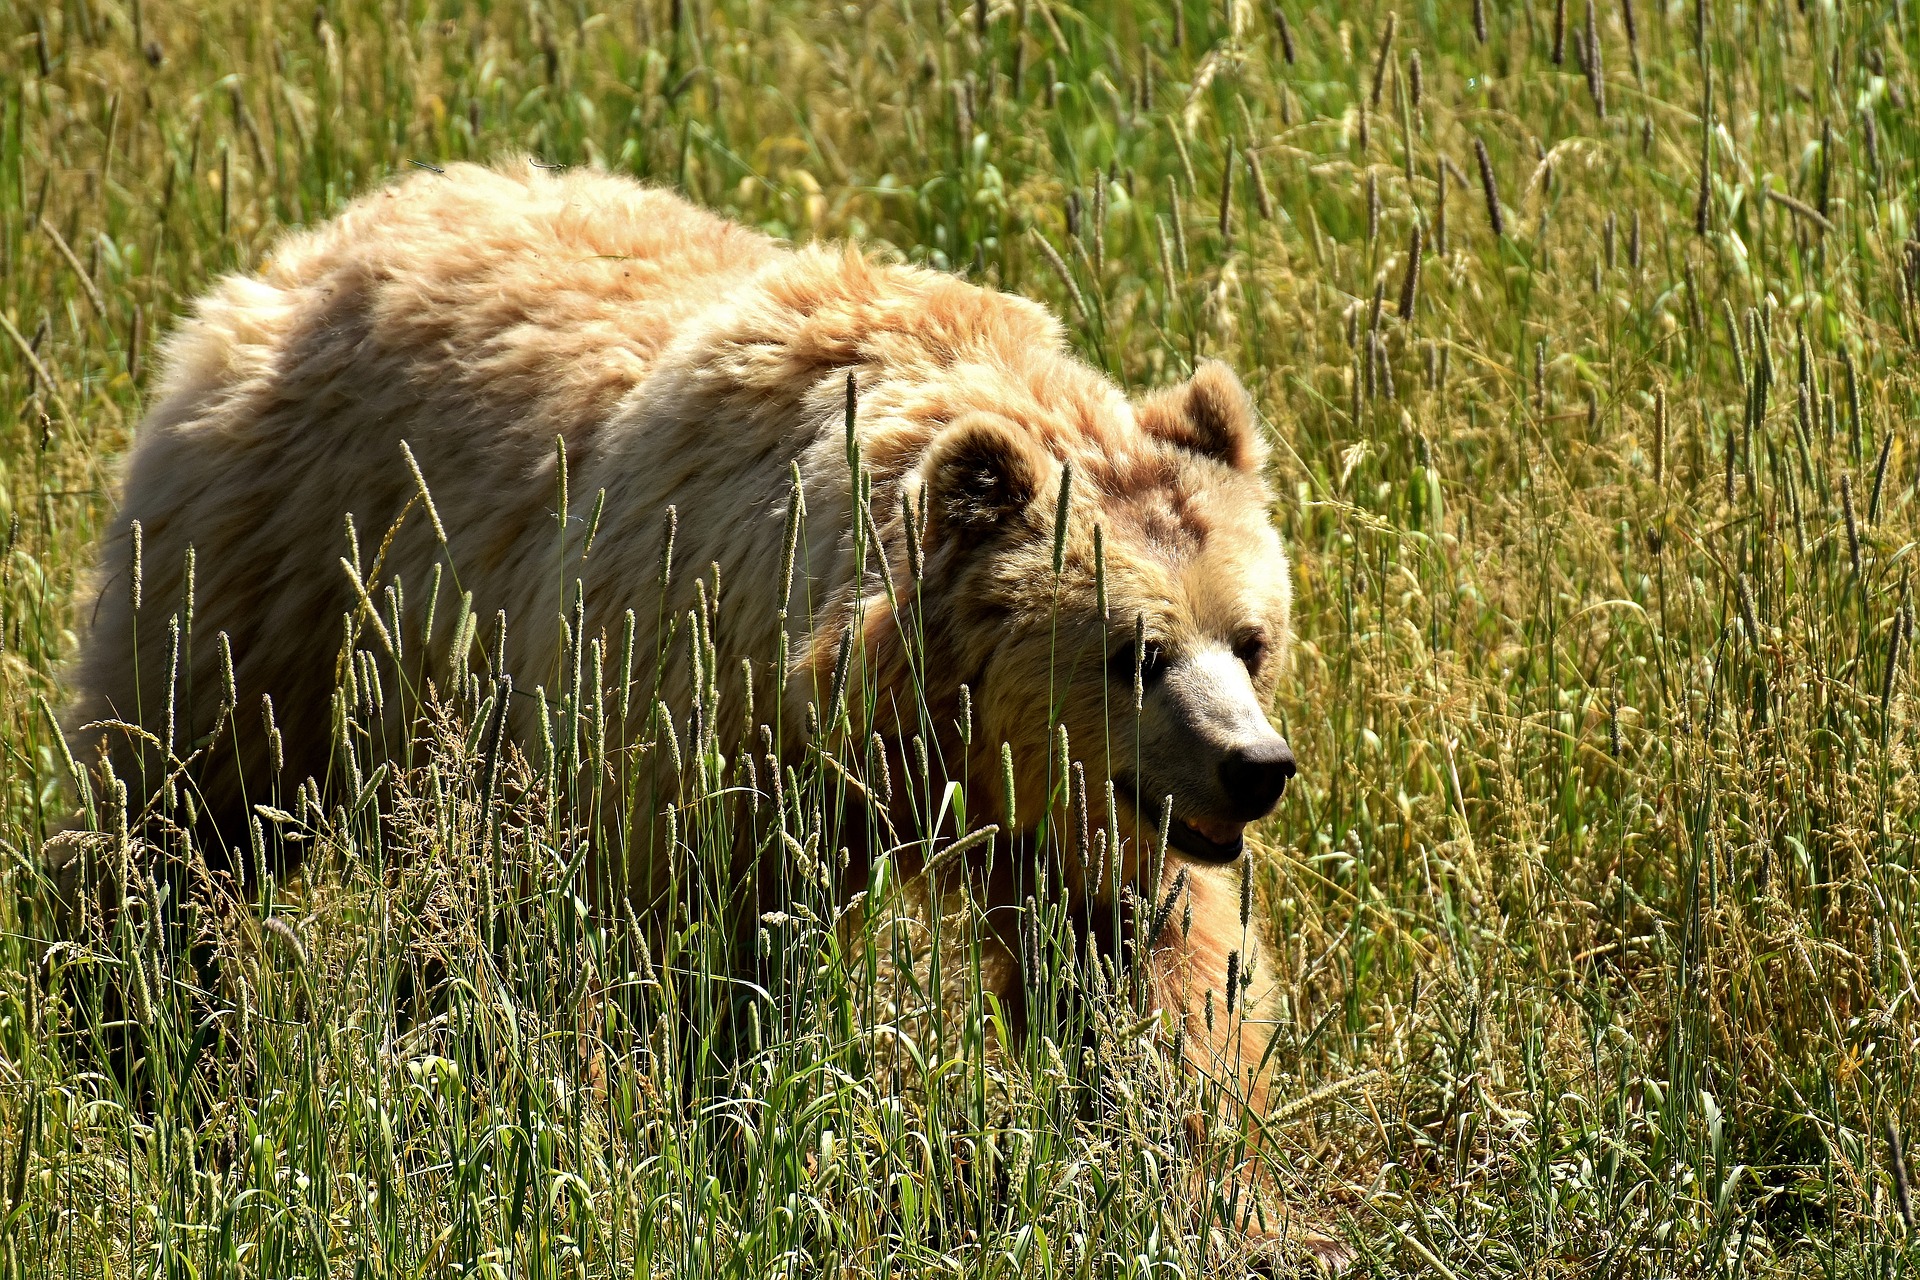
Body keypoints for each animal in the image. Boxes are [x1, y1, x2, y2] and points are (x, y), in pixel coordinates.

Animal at [63, 155, 1320, 1258]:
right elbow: (707, 958)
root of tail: (331, 233)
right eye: (1137, 651)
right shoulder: (698, 724)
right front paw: (729, 1152)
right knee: (181, 811)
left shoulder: (1078, 816)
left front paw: (1214, 1194)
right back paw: (139, 1028)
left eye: (1250, 637)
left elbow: (1146, 974)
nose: (1255, 765)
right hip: (279, 577)